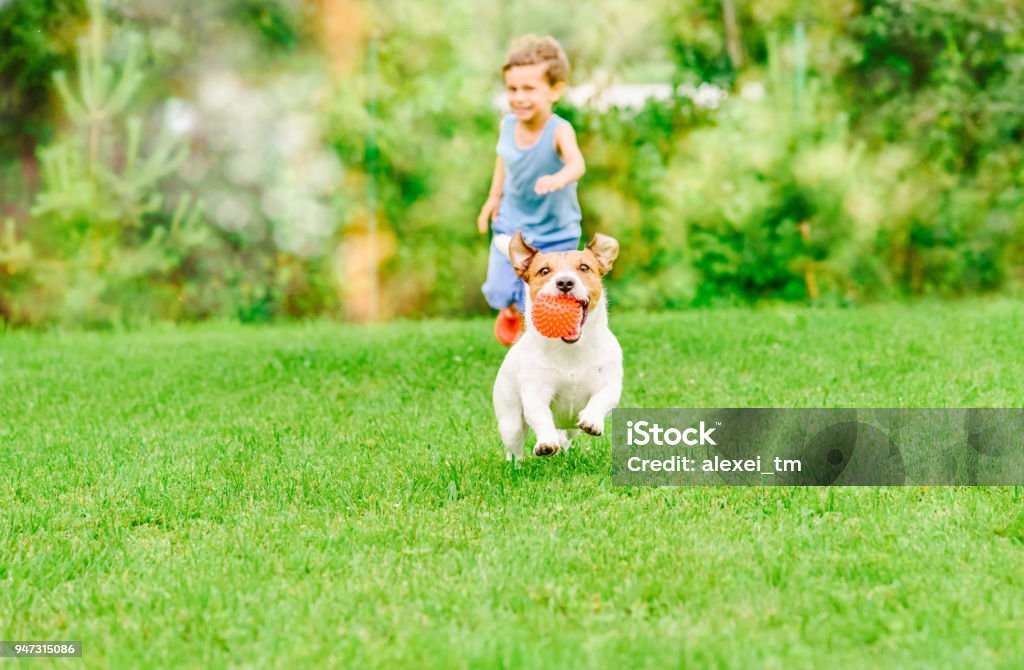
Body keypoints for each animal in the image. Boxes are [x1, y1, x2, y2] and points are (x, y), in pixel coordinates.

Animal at [489, 232, 618, 463]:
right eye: (544, 271)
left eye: (584, 267)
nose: (565, 282)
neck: (571, 350)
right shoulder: (535, 392)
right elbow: (541, 416)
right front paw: (546, 443)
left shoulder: (610, 382)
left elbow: (602, 398)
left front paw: (592, 420)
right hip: (510, 421)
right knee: (514, 448)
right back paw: (516, 465)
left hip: (570, 427)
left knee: (566, 435)